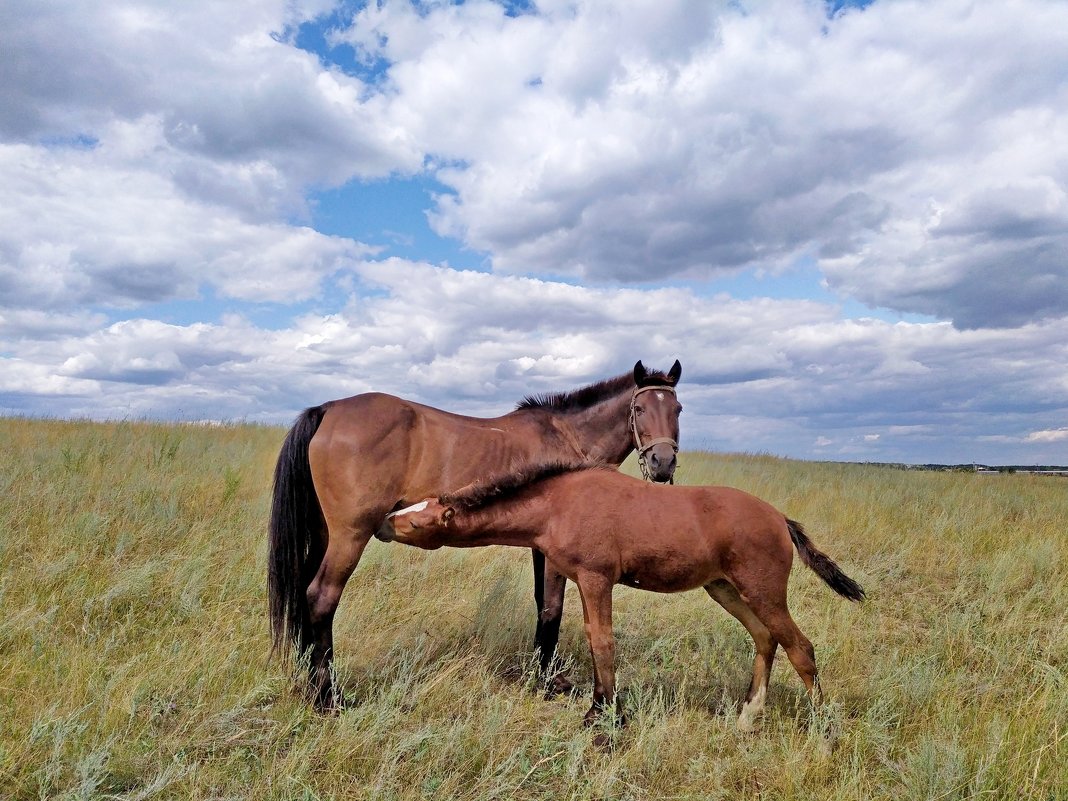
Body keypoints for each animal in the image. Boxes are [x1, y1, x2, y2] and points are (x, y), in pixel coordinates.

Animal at [267, 363, 683, 709]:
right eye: (640, 408)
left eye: (677, 409)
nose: (662, 463)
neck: (567, 435)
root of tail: (329, 409)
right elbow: (552, 608)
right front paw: (548, 682)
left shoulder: (539, 545)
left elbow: (541, 604)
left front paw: (542, 673)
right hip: (350, 536)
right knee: (321, 598)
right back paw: (329, 698)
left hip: (324, 535)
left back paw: (310, 684)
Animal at [378, 463, 867, 734]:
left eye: (418, 522)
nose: (383, 521)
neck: (558, 503)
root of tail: (780, 519)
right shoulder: (576, 579)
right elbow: (589, 635)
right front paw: (599, 706)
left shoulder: (596, 578)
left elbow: (602, 641)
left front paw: (603, 715)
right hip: (724, 588)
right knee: (766, 639)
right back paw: (747, 717)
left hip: (764, 591)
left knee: (800, 647)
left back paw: (825, 731)